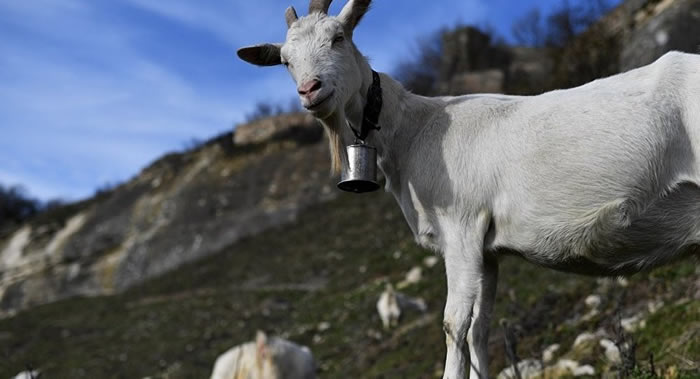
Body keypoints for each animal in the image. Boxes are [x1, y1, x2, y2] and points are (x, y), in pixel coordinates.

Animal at [239, 1, 700, 378]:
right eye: (285, 61)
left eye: (338, 37)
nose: (310, 90)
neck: (412, 130)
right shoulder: (489, 249)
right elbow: (480, 327)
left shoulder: (460, 227)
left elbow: (454, 323)